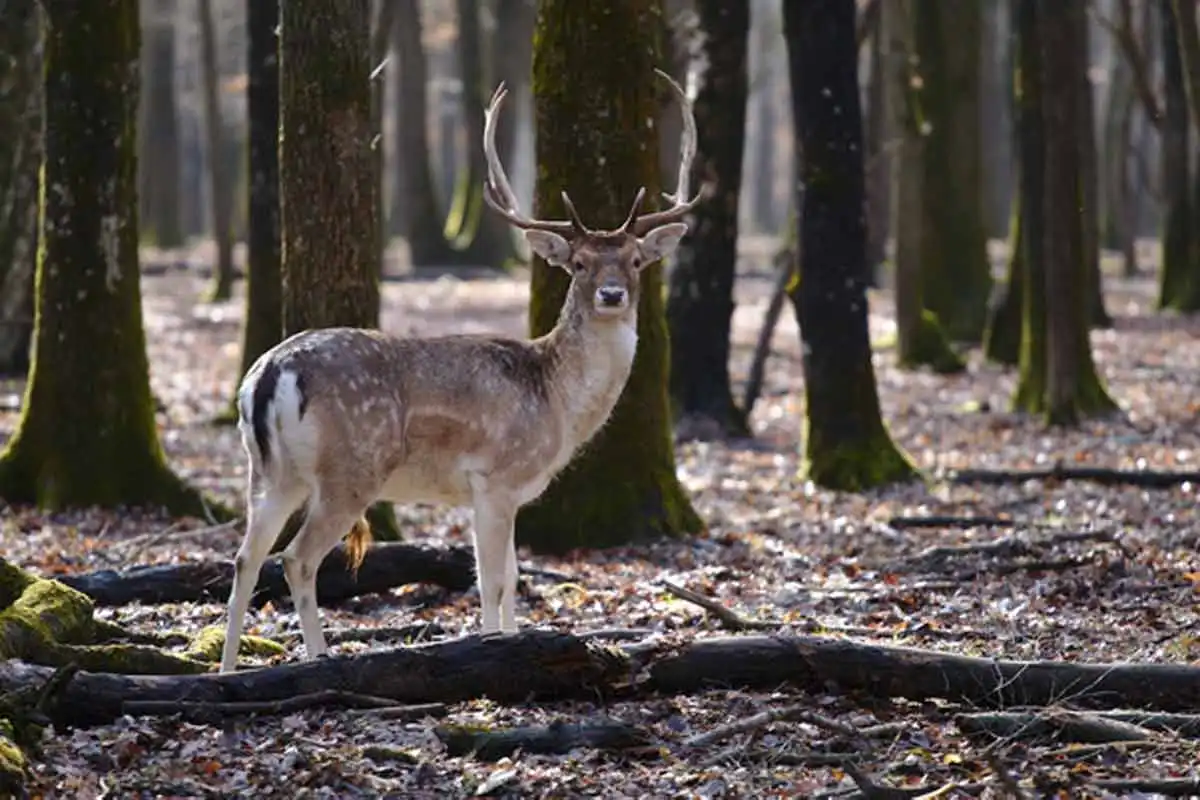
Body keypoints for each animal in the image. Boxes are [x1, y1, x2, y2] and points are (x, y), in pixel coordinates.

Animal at [218, 68, 700, 671]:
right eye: (580, 263)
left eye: (635, 261)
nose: (611, 295)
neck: (557, 402)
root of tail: (267, 374)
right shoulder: (496, 477)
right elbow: (492, 581)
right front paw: (494, 648)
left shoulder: (498, 493)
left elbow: (510, 578)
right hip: (351, 468)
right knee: (297, 558)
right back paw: (317, 655)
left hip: (269, 471)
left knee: (245, 557)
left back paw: (227, 668)